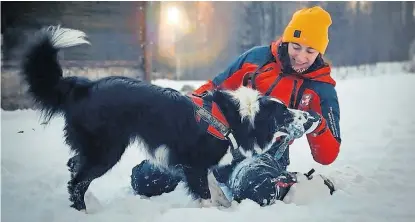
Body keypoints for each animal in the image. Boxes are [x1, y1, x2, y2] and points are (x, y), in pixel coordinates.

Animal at [20, 25, 306, 212]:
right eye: (284, 113)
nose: (308, 115)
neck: (236, 116)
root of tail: (85, 87)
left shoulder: (201, 165)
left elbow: (215, 189)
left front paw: (226, 209)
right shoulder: (193, 165)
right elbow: (205, 194)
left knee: (73, 167)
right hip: (106, 150)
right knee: (77, 182)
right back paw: (82, 211)